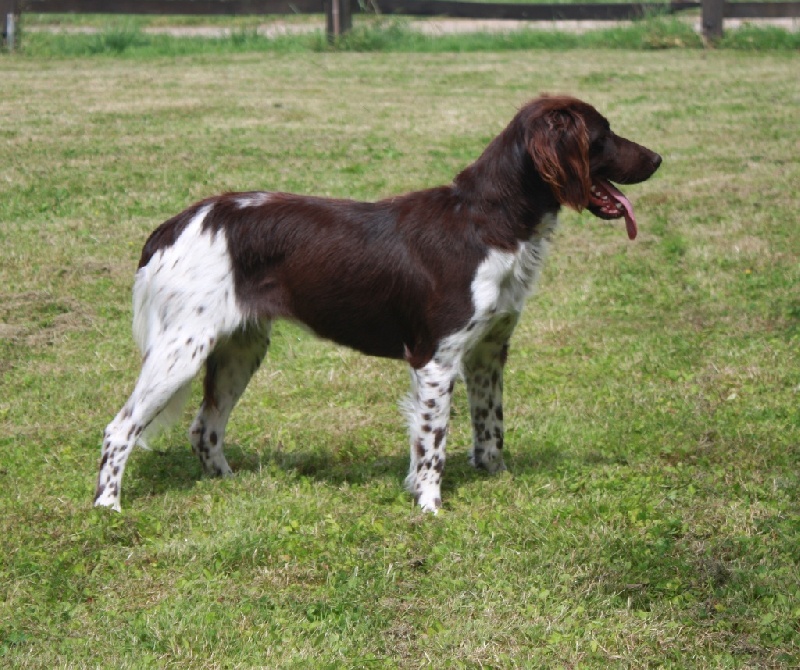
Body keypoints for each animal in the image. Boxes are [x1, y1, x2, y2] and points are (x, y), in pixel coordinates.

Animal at [94, 96, 664, 516]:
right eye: (604, 133)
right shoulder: (435, 359)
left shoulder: (489, 351)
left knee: (204, 427)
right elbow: (433, 443)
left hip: (241, 347)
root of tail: (174, 224)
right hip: (181, 349)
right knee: (120, 429)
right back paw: (107, 507)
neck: (488, 222)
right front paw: (430, 508)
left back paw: (230, 485)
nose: (658, 158)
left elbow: (491, 426)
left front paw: (495, 478)